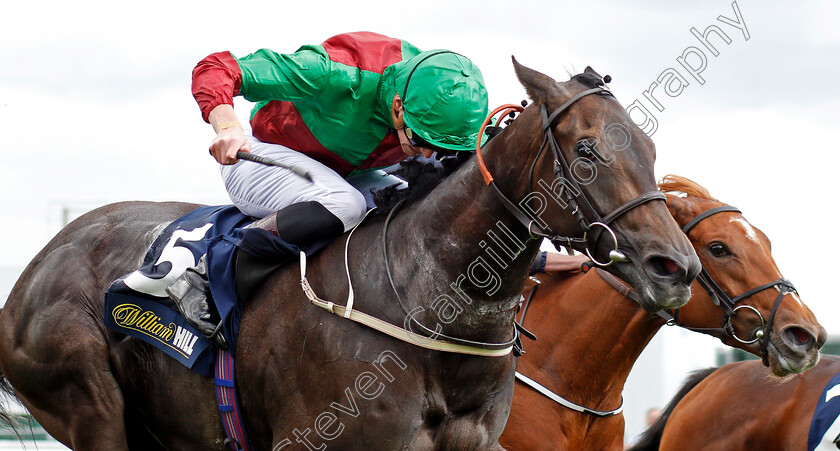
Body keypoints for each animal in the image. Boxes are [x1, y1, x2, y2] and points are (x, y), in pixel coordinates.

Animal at [0, 61, 704, 451]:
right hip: (85, 399)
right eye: (586, 151)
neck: (425, 307)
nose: (676, 267)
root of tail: (37, 264)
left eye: (650, 149)